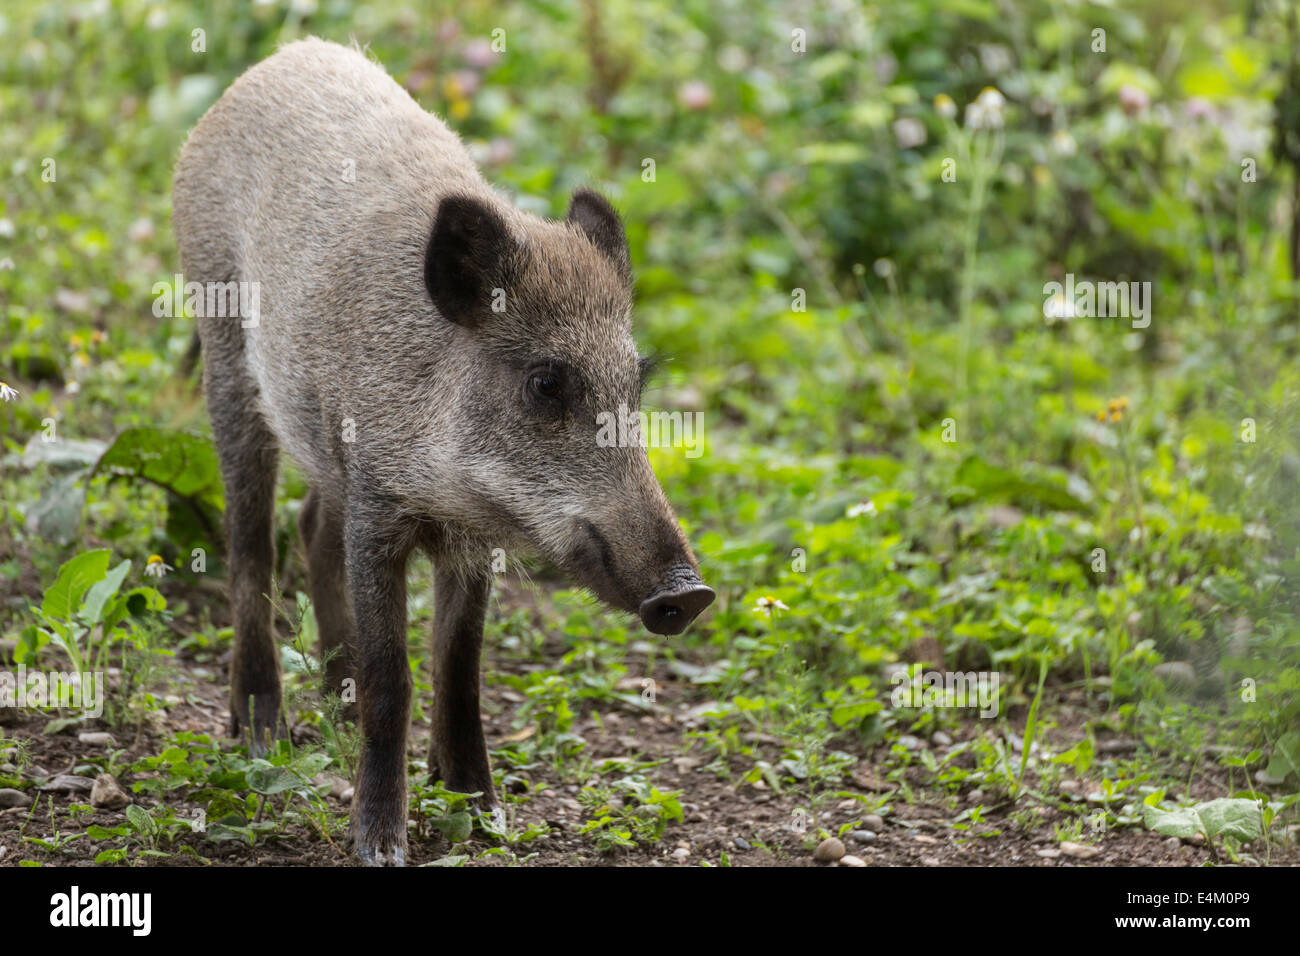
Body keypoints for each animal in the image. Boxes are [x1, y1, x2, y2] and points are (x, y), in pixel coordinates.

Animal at [171, 38, 714, 865]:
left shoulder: (471, 534)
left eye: (637, 380)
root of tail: (279, 61)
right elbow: (393, 674)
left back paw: (333, 708)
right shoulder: (380, 507)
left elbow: (460, 667)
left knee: (310, 528)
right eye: (547, 382)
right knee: (251, 545)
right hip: (225, 349)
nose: (690, 593)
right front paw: (380, 847)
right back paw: (263, 736)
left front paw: (484, 816)